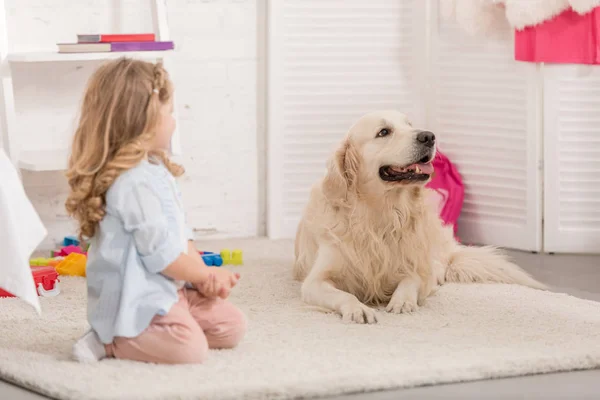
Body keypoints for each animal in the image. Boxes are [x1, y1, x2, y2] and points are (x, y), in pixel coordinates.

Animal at [292, 110, 548, 324]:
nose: (429, 136)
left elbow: (411, 281)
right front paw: (358, 309)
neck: (379, 214)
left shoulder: (416, 265)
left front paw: (402, 301)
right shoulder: (314, 281)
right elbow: (343, 295)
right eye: (383, 132)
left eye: (409, 124)